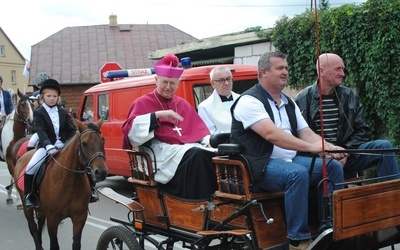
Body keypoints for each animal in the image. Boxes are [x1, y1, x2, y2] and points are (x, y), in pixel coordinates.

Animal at [13, 118, 108, 249]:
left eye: (102, 141)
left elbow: (76, 244)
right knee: (33, 228)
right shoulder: (53, 219)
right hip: (27, 208)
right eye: (84, 143)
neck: (71, 183)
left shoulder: (80, 217)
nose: (101, 172)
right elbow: (54, 245)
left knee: (39, 225)